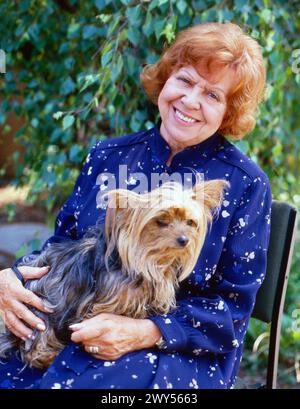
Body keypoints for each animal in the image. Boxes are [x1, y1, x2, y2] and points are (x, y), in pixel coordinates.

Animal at [0, 177, 227, 368]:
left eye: (191, 222)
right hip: (40, 310)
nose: (184, 240)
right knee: (36, 340)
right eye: (161, 221)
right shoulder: (100, 306)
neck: (151, 261)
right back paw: (47, 355)